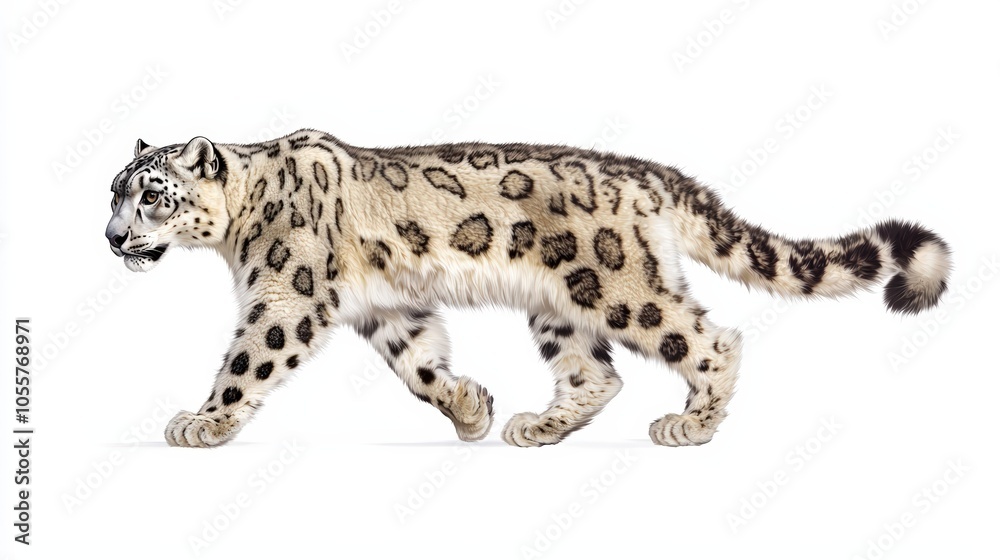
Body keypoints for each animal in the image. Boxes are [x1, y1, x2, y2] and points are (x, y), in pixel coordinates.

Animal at [104, 129, 951, 448]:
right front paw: (469, 407)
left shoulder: (287, 293)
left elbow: (249, 357)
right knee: (595, 374)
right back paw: (538, 427)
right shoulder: (386, 306)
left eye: (152, 196)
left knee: (711, 338)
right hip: (559, 308)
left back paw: (692, 423)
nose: (112, 238)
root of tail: (648, 173)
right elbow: (420, 362)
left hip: (621, 286)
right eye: (111, 193)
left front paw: (200, 422)